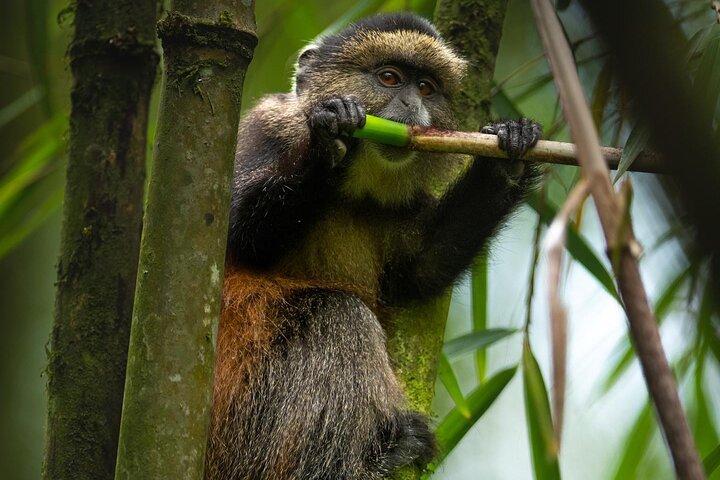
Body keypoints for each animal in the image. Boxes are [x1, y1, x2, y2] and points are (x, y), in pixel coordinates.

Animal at [206, 12, 542, 480]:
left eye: (426, 88)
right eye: (389, 78)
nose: (412, 106)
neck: (354, 189)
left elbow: (419, 271)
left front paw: (510, 153)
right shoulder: (264, 131)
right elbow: (240, 236)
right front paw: (331, 142)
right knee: (337, 314)